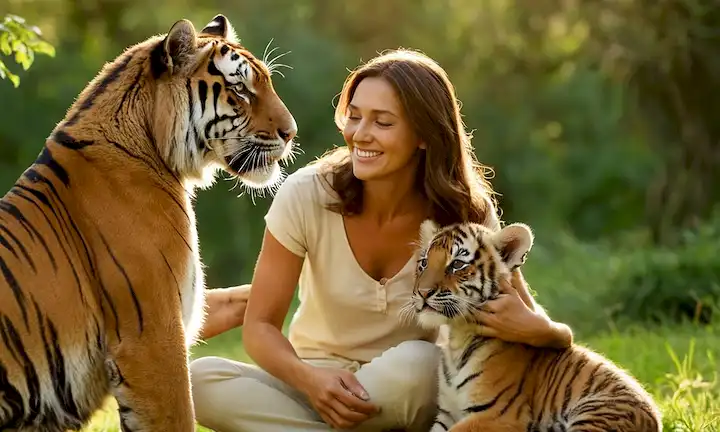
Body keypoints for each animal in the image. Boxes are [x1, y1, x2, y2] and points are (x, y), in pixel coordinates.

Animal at [401, 220, 663, 432]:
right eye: (424, 263)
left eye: (457, 264)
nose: (422, 292)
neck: (457, 336)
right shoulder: (447, 413)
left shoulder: (497, 414)